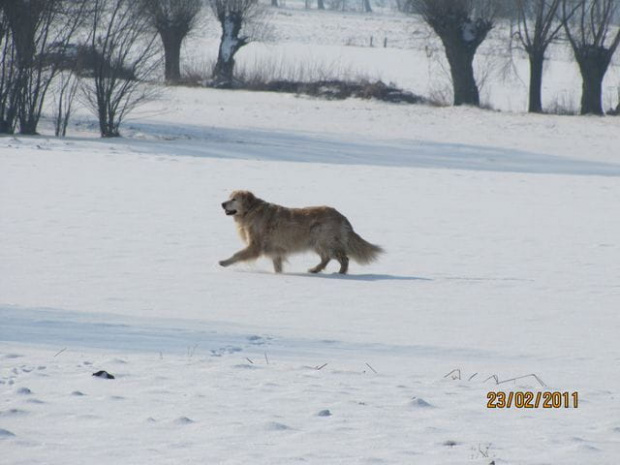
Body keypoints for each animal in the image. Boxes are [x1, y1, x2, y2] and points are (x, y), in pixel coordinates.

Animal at [218, 190, 382, 274]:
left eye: (234, 199)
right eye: (229, 198)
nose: (222, 204)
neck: (251, 211)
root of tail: (342, 216)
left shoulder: (255, 246)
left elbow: (237, 255)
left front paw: (223, 262)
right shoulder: (275, 250)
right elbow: (277, 265)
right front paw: (278, 274)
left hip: (324, 240)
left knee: (343, 258)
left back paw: (340, 273)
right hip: (317, 242)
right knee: (326, 258)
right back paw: (315, 270)